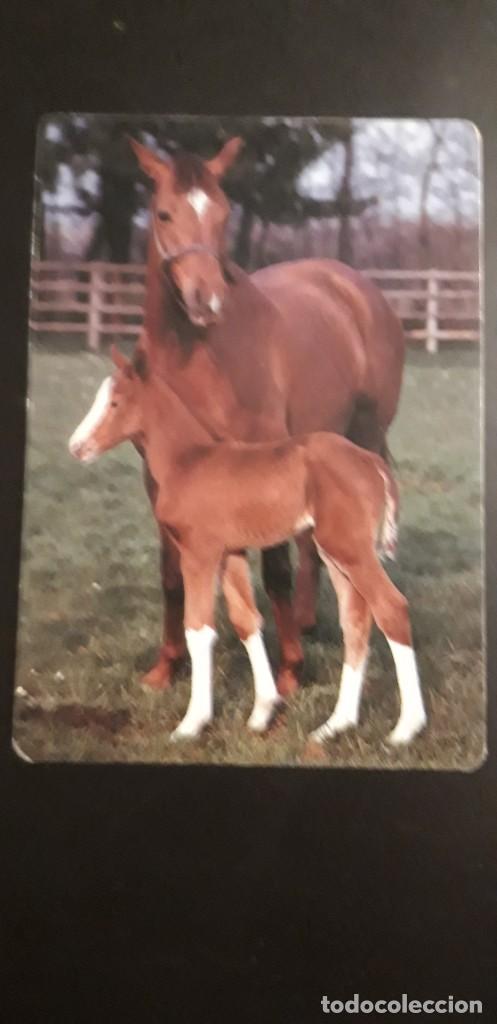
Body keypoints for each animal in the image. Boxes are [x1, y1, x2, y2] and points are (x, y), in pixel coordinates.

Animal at [68, 345, 426, 747]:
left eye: (114, 403)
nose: (76, 447)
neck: (188, 460)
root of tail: (371, 461)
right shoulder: (231, 553)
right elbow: (246, 621)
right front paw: (262, 713)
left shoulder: (199, 553)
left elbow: (198, 629)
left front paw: (191, 724)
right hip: (335, 552)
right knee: (355, 621)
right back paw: (335, 725)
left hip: (350, 549)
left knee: (391, 608)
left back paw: (406, 728)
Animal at [126, 135, 405, 698]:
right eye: (164, 213)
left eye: (223, 212)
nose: (206, 299)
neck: (192, 359)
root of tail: (353, 286)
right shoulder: (158, 477)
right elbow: (171, 573)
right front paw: (166, 667)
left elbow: (273, 569)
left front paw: (291, 671)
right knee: (310, 541)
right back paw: (305, 618)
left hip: (359, 440)